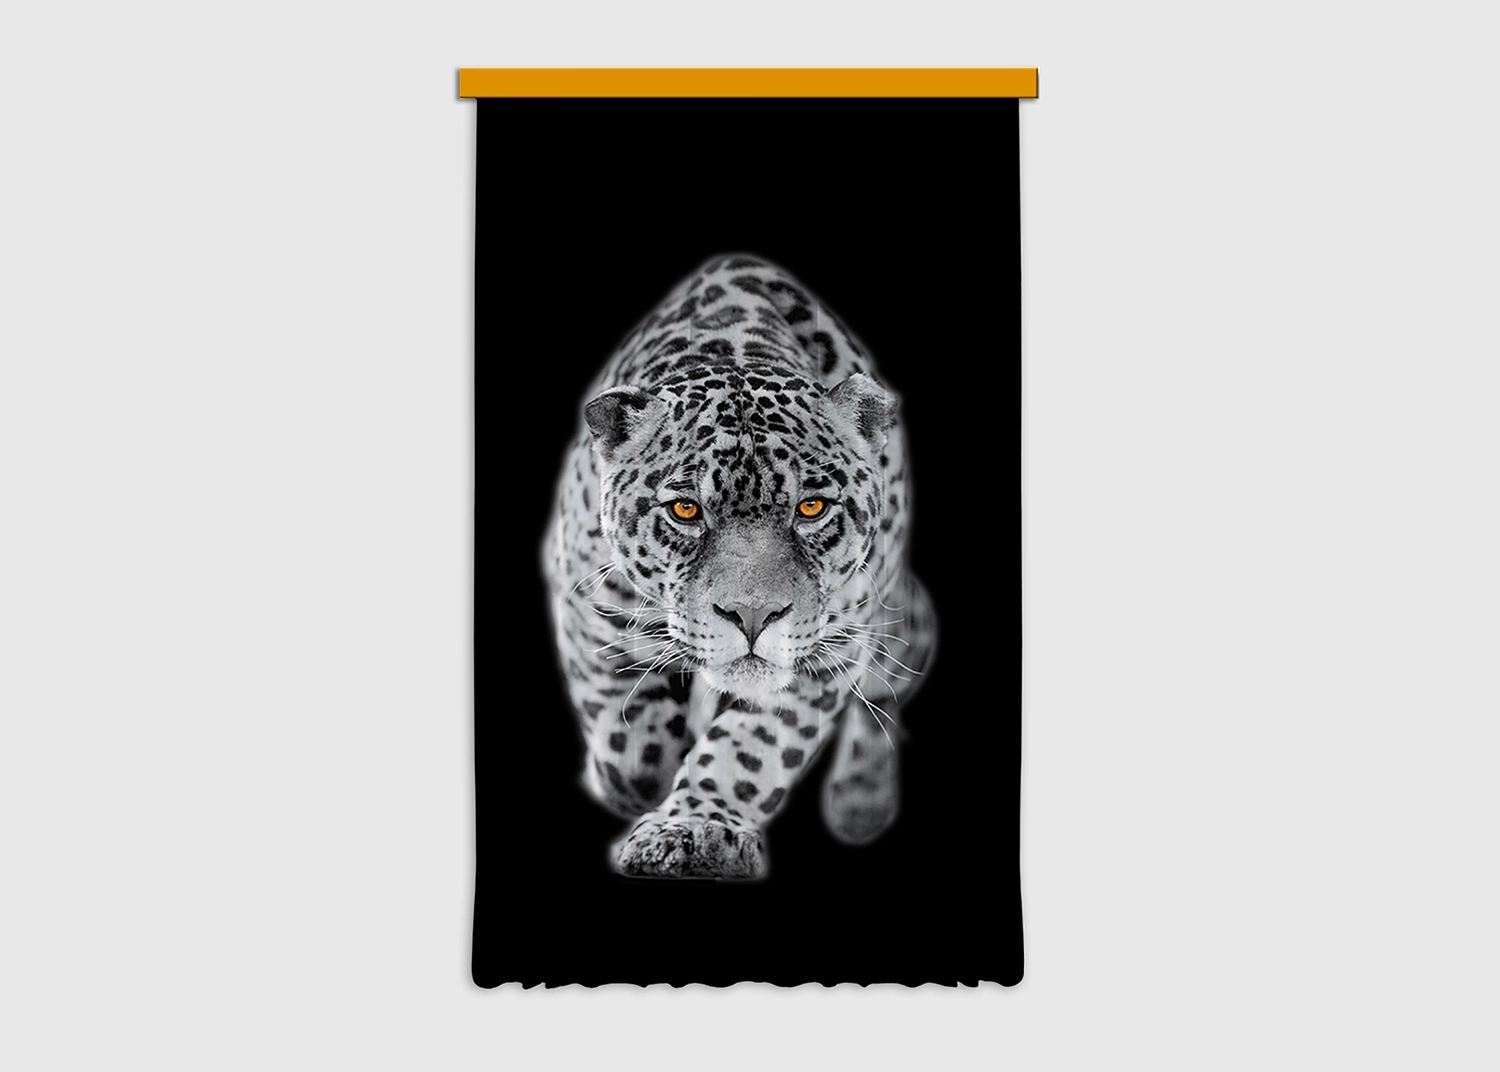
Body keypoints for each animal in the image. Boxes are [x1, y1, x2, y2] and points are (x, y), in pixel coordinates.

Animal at [542, 254, 936, 880]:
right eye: (685, 510)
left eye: (811, 508)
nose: (752, 618)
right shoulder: (586, 599)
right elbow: (630, 745)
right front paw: (636, 778)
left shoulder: (830, 646)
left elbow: (752, 748)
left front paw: (695, 829)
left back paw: (861, 804)